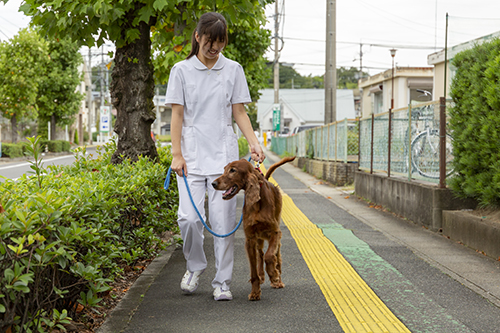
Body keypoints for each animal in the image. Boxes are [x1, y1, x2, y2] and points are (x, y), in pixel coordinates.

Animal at [212, 157, 296, 300]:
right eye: (224, 169)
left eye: (232, 170)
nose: (213, 183)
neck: (257, 204)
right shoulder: (250, 239)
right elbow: (254, 269)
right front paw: (255, 292)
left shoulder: (275, 232)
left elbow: (269, 256)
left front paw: (273, 275)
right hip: (259, 238)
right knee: (260, 253)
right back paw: (263, 275)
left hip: (275, 234)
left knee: (276, 255)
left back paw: (278, 279)